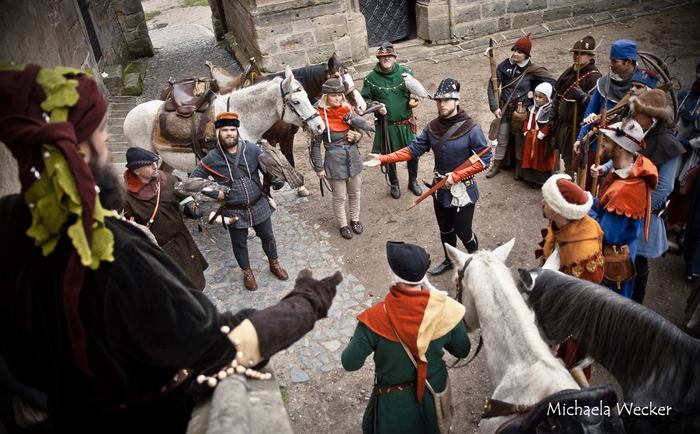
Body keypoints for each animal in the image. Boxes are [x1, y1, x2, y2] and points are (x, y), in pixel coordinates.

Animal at [123, 66, 326, 171]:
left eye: (307, 95)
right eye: (296, 101)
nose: (320, 126)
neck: (241, 118)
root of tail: (129, 115)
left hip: (166, 159)